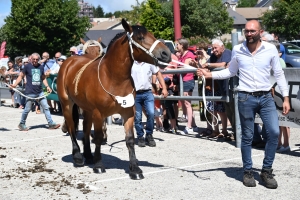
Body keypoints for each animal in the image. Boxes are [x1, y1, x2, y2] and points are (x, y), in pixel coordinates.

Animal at [56, 19, 171, 180]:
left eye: (152, 34)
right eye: (140, 37)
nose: (166, 53)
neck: (113, 78)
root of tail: (68, 62)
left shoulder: (128, 112)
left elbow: (130, 140)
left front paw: (135, 169)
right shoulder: (99, 114)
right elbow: (98, 137)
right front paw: (99, 165)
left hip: (87, 109)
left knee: (85, 129)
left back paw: (88, 155)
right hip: (67, 104)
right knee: (72, 128)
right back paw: (78, 157)